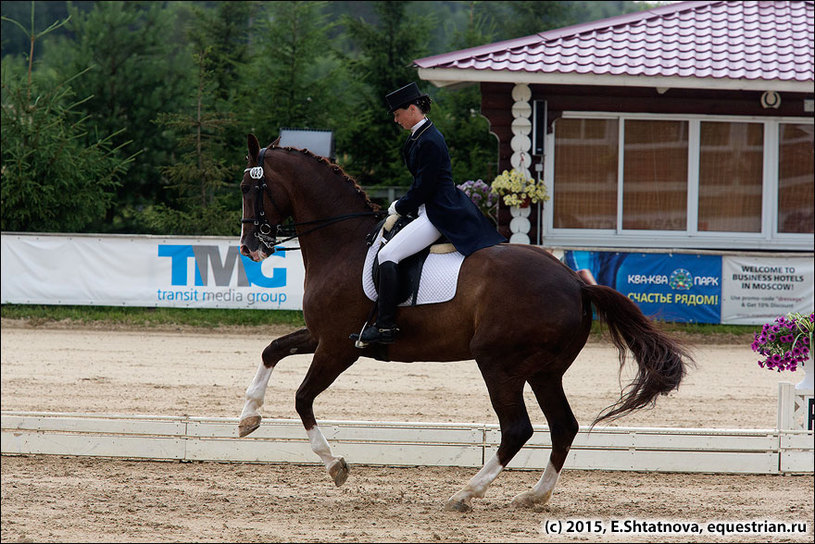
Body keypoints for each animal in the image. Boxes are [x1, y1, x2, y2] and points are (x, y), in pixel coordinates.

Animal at [237, 134, 696, 512]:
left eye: (247, 188)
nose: (249, 248)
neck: (342, 243)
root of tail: (576, 283)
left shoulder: (338, 346)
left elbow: (302, 399)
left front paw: (336, 466)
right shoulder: (322, 336)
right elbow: (271, 350)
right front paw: (247, 418)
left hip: (499, 363)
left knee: (517, 429)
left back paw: (465, 493)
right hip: (545, 371)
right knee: (563, 426)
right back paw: (533, 496)